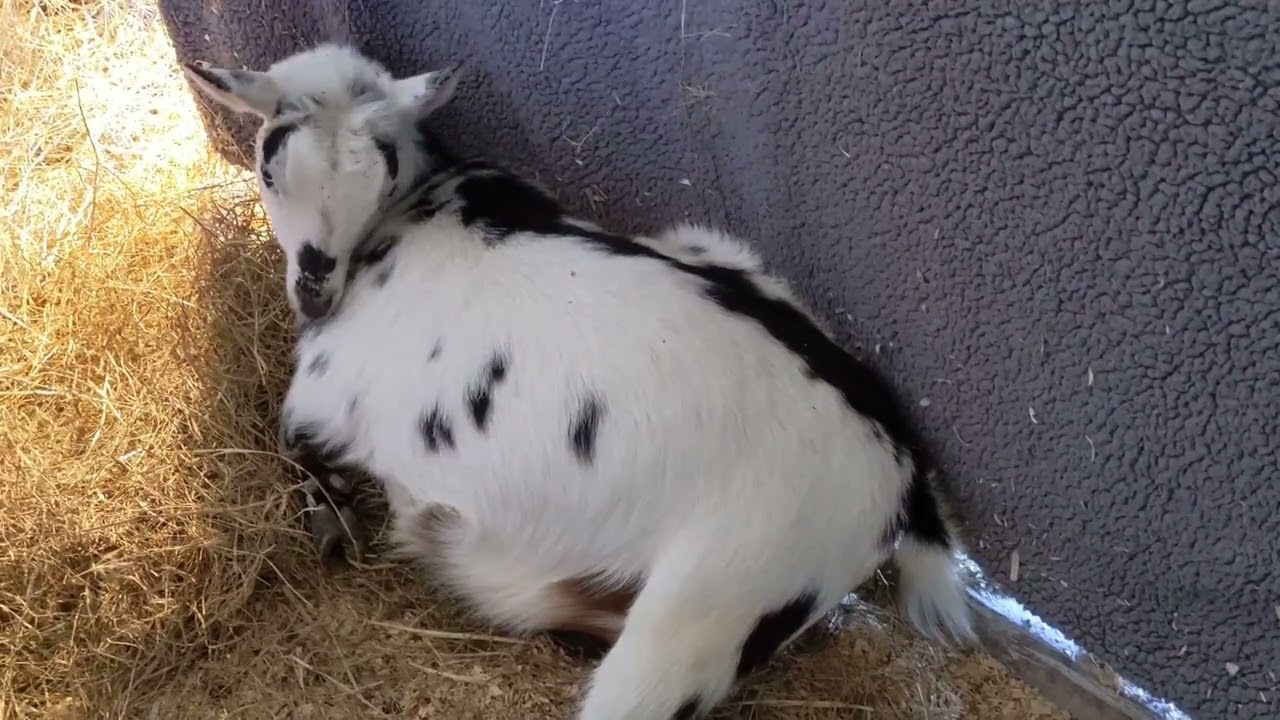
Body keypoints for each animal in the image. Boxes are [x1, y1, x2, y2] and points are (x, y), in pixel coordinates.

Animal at [183, 43, 977, 720]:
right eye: (273, 171)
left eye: (375, 176)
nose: (316, 294)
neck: (415, 214)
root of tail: (902, 471)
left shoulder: (322, 399)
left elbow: (297, 449)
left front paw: (334, 521)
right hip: (712, 246)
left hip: (714, 600)